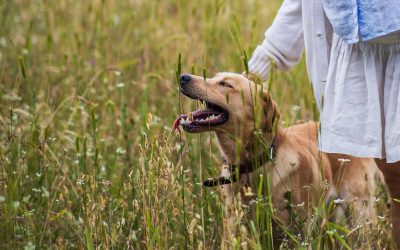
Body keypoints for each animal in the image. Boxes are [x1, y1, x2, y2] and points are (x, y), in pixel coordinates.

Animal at [173, 72, 382, 244]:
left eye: (225, 84)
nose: (183, 77)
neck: (252, 168)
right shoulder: (236, 229)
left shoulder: (296, 234)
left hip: (359, 213)